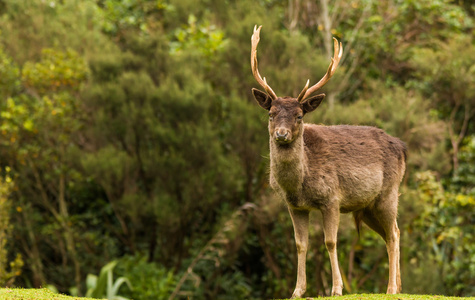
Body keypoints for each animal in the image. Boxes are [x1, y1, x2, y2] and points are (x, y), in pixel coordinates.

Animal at [251, 25, 408, 298]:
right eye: (271, 114)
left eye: (299, 115)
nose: (281, 134)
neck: (299, 184)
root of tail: (402, 148)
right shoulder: (295, 206)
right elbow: (300, 244)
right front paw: (297, 290)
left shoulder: (332, 197)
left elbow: (331, 241)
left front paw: (336, 288)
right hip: (367, 207)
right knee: (393, 232)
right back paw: (398, 286)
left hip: (388, 193)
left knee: (394, 235)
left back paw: (390, 288)